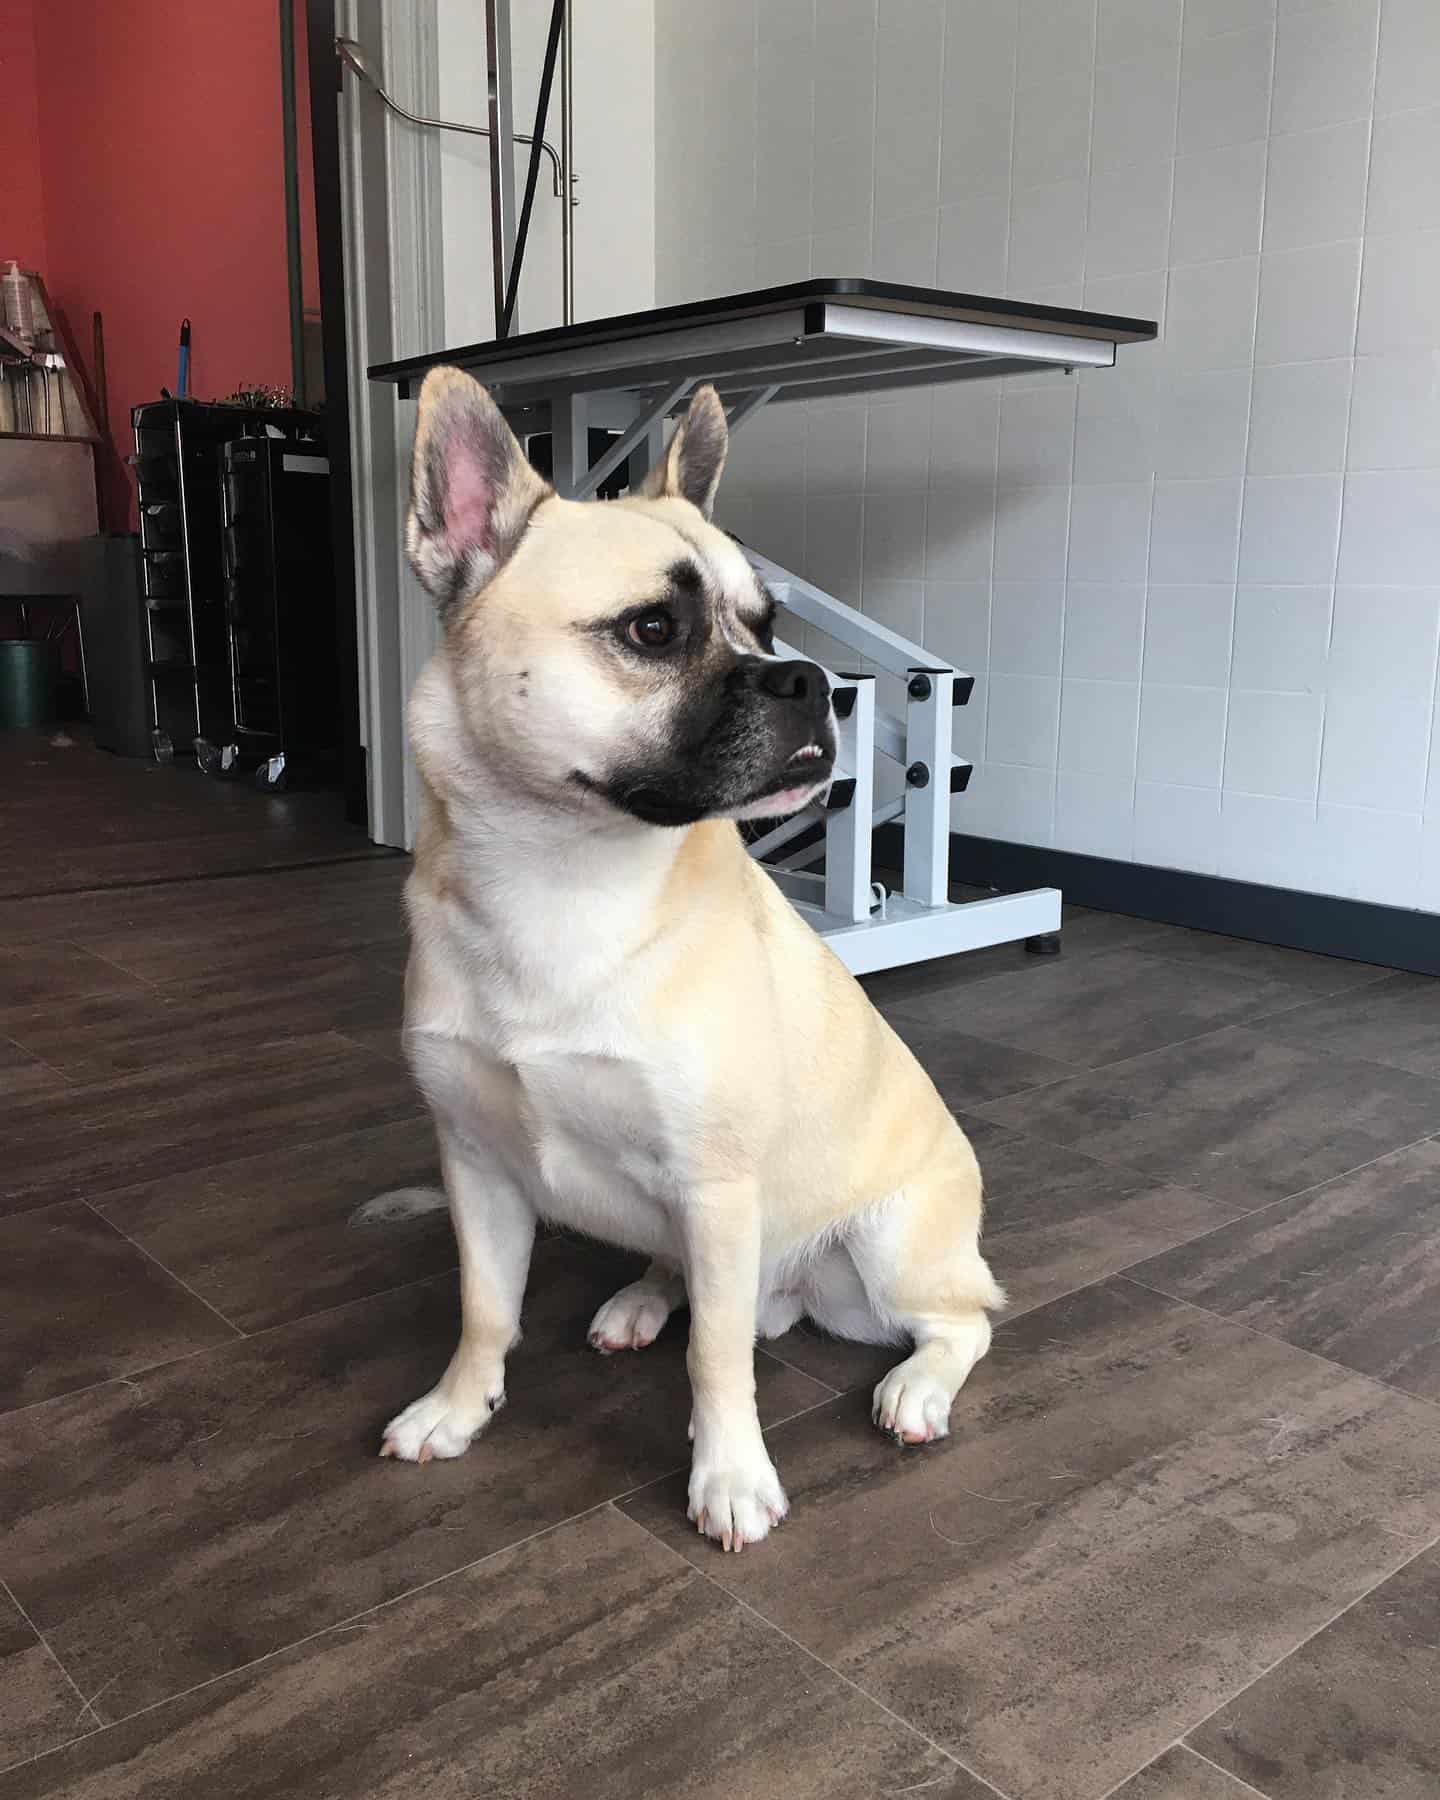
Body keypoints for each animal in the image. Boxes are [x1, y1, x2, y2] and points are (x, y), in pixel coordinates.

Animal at [379, 365, 1000, 1548]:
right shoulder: (476, 1167)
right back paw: (641, 1297)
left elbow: (716, 1362)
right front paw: (457, 1406)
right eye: (653, 629)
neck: (563, 877)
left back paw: (916, 1389)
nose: (806, 679)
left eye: (766, 625)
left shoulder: (715, 1189)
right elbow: (485, 1309)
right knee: (689, 1281)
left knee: (962, 1321)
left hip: (887, 1256)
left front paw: (730, 1478)